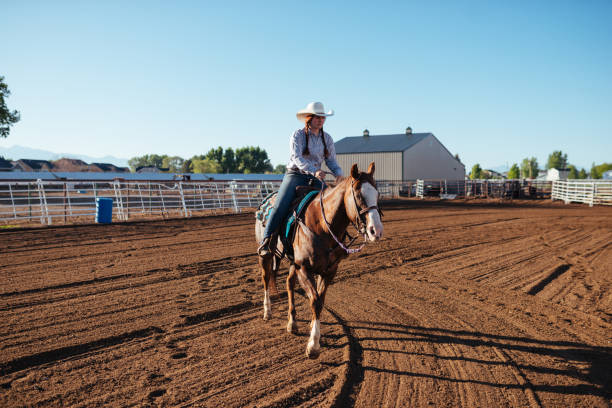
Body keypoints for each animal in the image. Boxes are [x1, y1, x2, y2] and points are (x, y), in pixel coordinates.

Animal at [253, 161, 382, 358]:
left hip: (293, 263)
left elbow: (320, 300)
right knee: (266, 278)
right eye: (359, 195)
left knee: (289, 283)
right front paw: (313, 345)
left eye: (377, 193)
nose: (376, 231)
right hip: (266, 255)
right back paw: (267, 311)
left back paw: (292, 323)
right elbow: (314, 301)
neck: (321, 225)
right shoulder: (304, 269)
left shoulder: (328, 271)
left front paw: (314, 329)